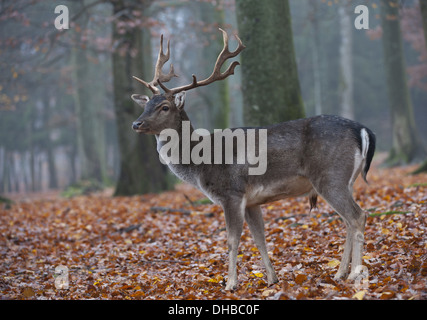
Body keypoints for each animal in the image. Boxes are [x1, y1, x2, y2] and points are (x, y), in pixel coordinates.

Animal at [130, 28, 374, 292]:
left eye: (164, 107)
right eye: (146, 105)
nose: (136, 123)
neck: (202, 163)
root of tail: (362, 130)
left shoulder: (232, 193)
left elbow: (231, 240)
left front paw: (230, 284)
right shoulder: (252, 201)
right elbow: (259, 239)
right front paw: (271, 279)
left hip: (330, 177)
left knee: (357, 216)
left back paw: (354, 275)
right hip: (345, 180)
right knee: (348, 220)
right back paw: (339, 274)